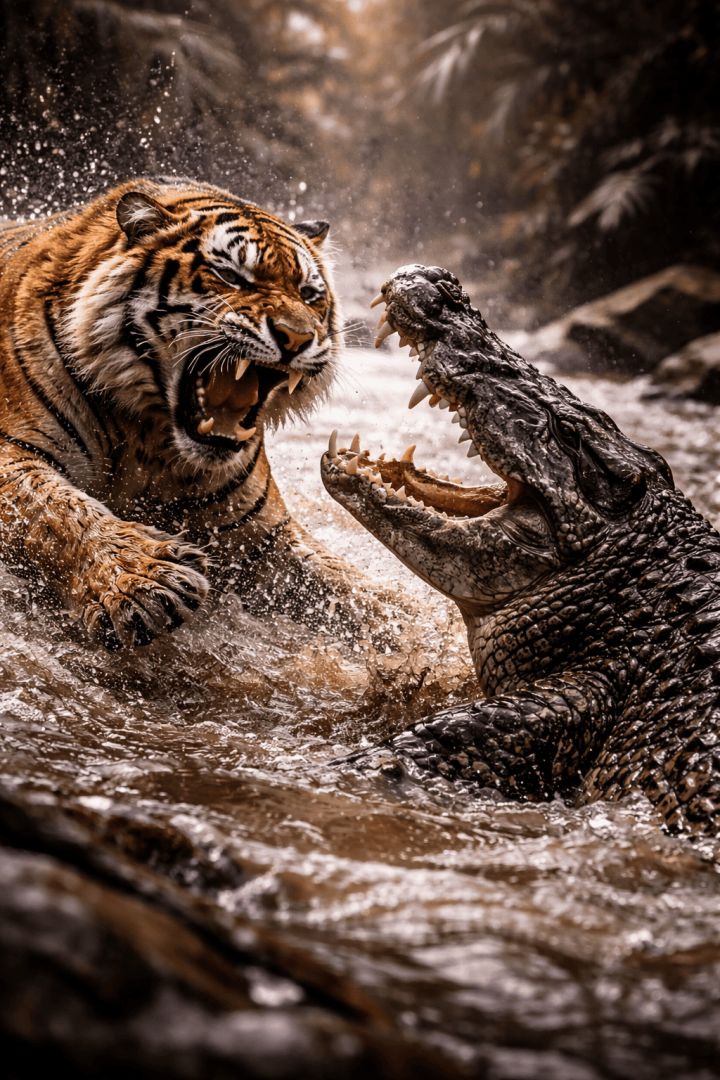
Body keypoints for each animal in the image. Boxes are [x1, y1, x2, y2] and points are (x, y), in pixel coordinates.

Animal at [0, 177, 367, 649]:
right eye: (231, 276)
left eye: (309, 294)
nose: (297, 337)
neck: (150, 438)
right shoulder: (14, 450)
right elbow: (55, 509)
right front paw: (143, 580)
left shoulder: (265, 536)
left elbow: (365, 594)